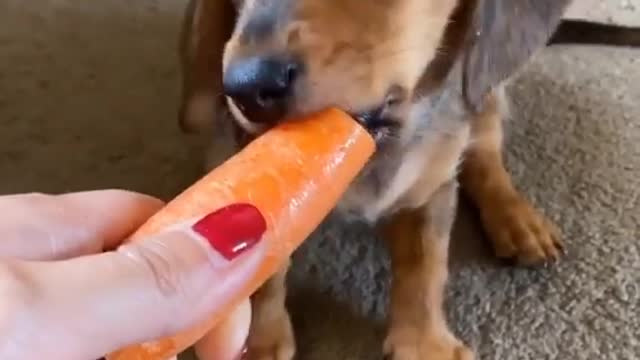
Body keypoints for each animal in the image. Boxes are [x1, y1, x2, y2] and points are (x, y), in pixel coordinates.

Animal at [175, 0, 636, 358]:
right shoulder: (239, 161)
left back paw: (516, 218)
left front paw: (425, 342)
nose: (244, 90)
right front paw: (257, 339)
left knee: (483, 150)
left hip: (482, 91)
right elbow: (265, 265)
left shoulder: (431, 187)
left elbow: (425, 264)